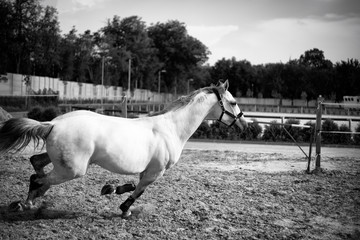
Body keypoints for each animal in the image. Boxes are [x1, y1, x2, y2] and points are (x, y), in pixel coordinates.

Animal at [0, 80, 248, 218]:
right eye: (234, 102)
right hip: (71, 170)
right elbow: (138, 191)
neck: (171, 128)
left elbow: (131, 186)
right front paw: (125, 209)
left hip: (60, 163)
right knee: (38, 178)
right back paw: (26, 202)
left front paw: (110, 189)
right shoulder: (155, 172)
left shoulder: (147, 171)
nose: (244, 125)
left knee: (36, 163)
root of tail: (53, 123)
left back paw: (33, 198)